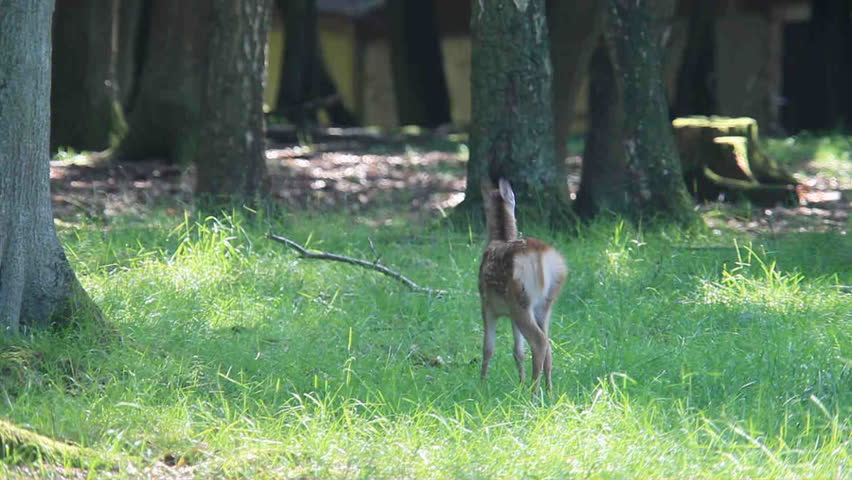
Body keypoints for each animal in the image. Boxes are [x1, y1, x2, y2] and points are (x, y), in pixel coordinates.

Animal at [478, 178, 567, 393]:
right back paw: (549, 391)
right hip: (544, 303)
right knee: (548, 344)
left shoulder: (487, 305)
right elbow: (518, 350)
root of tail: (542, 257)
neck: (500, 238)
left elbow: (488, 347)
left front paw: (482, 383)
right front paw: (521, 381)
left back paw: (534, 392)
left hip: (520, 299)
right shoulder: (510, 314)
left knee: (539, 342)